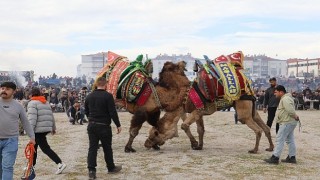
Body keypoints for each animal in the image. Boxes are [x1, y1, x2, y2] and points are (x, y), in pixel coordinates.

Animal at [144, 52, 274, 154]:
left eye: (154, 134)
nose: (146, 144)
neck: (184, 97)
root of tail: (249, 87)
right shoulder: (199, 112)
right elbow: (200, 129)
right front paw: (199, 146)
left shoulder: (197, 110)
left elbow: (184, 126)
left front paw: (195, 144)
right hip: (252, 108)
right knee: (265, 127)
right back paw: (270, 147)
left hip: (243, 107)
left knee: (257, 129)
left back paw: (254, 150)